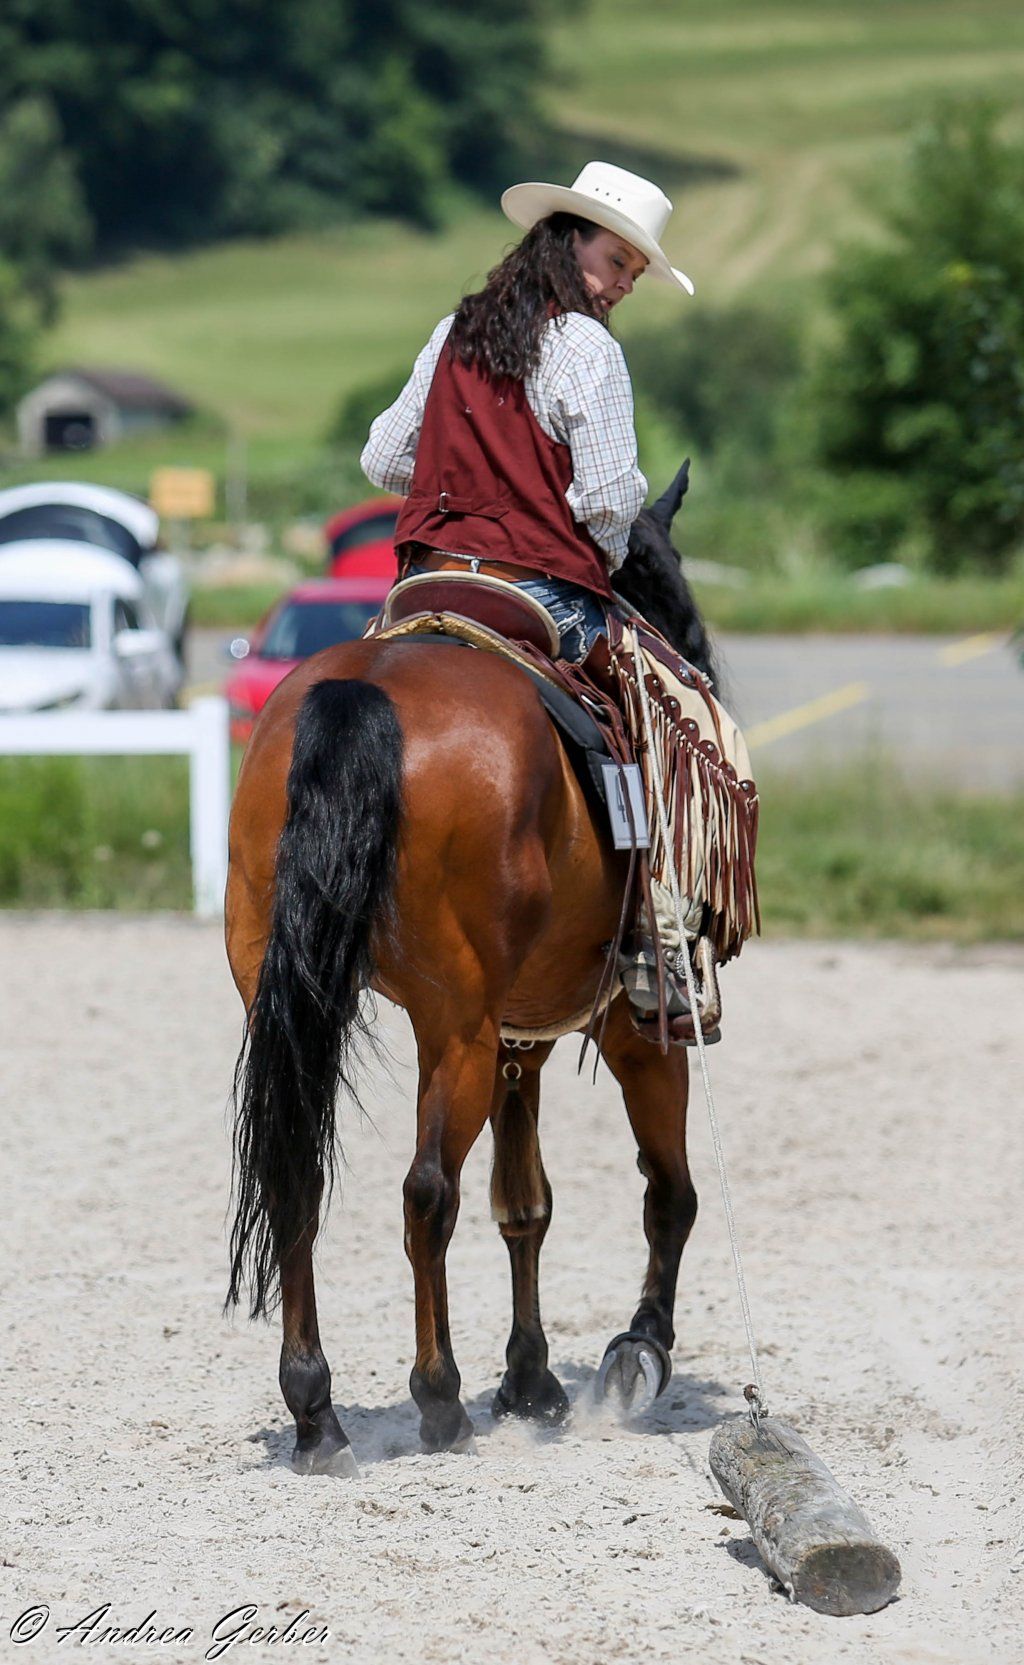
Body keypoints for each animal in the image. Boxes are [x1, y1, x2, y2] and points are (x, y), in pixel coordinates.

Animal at [224, 463, 718, 1475]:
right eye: (660, 572)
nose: (701, 656)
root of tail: (360, 694)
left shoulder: (519, 1041)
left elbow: (524, 1204)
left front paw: (530, 1380)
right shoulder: (628, 1029)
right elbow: (668, 1193)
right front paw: (637, 1350)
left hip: (293, 1002)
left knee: (299, 1172)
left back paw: (316, 1410)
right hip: (456, 1029)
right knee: (427, 1192)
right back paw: (439, 1397)